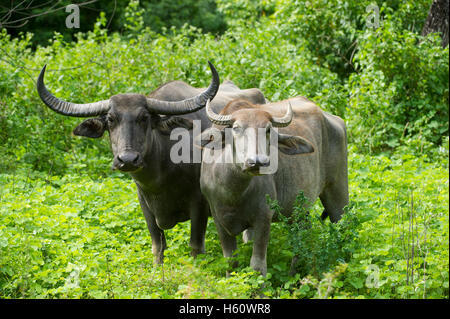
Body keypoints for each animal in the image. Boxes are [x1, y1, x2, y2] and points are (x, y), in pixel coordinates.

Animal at [37, 61, 268, 264]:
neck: (161, 177)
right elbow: (158, 246)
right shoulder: (144, 204)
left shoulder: (200, 203)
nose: (127, 159)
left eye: (144, 118)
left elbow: (195, 245)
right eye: (110, 119)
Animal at [198, 97, 348, 276]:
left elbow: (257, 265)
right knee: (302, 237)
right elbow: (230, 262)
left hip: (338, 190)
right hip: (297, 211)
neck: (234, 193)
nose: (257, 161)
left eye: (268, 129)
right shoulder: (218, 219)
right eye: (236, 128)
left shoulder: (263, 217)